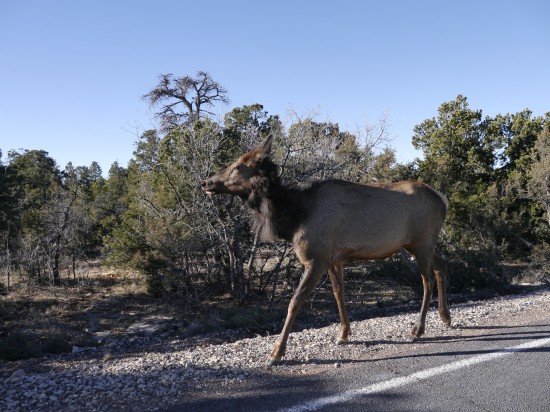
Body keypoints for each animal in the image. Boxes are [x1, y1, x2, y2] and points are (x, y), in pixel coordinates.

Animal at [204, 134, 452, 366]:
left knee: (427, 279)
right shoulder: (334, 259)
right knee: (441, 266)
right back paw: (445, 317)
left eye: (237, 166)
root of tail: (443, 200)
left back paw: (417, 330)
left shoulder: (317, 258)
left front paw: (276, 353)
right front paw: (343, 334)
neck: (295, 218)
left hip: (421, 242)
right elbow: (338, 293)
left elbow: (295, 301)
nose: (207, 182)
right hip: (420, 244)